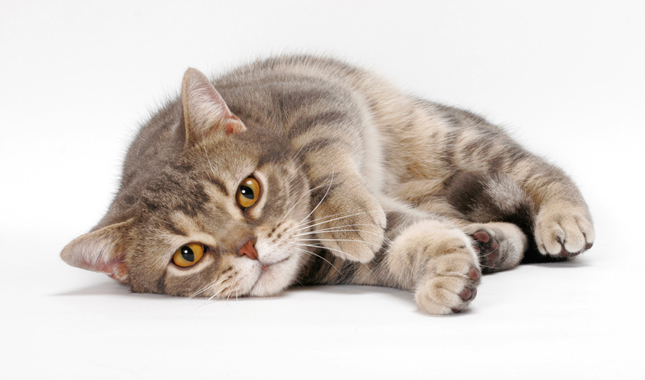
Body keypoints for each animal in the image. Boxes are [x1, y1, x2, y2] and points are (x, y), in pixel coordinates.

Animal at [60, 54, 592, 314]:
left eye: (247, 191)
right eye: (187, 255)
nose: (250, 249)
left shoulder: (316, 103)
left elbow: (324, 157)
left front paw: (349, 216)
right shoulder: (335, 262)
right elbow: (404, 242)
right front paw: (445, 269)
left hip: (446, 137)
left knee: (535, 170)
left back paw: (561, 215)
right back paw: (490, 242)